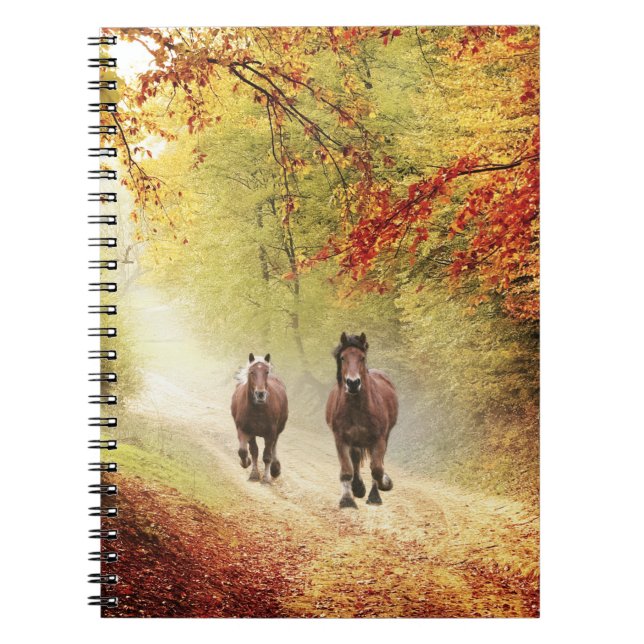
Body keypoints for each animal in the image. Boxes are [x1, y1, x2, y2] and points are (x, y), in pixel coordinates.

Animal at [231, 353, 288, 484]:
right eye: (252, 372)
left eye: (266, 372)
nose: (260, 394)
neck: (258, 409)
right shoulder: (245, 430)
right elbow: (247, 451)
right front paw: (250, 468)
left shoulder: (271, 432)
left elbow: (267, 456)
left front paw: (266, 478)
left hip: (278, 430)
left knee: (274, 447)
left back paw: (275, 469)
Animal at [326, 332, 399, 508]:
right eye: (343, 357)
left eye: (362, 357)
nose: (353, 383)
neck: (357, 407)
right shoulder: (341, 439)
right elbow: (346, 470)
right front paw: (347, 500)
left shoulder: (379, 439)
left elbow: (377, 469)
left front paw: (377, 493)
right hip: (355, 440)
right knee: (356, 459)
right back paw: (357, 487)